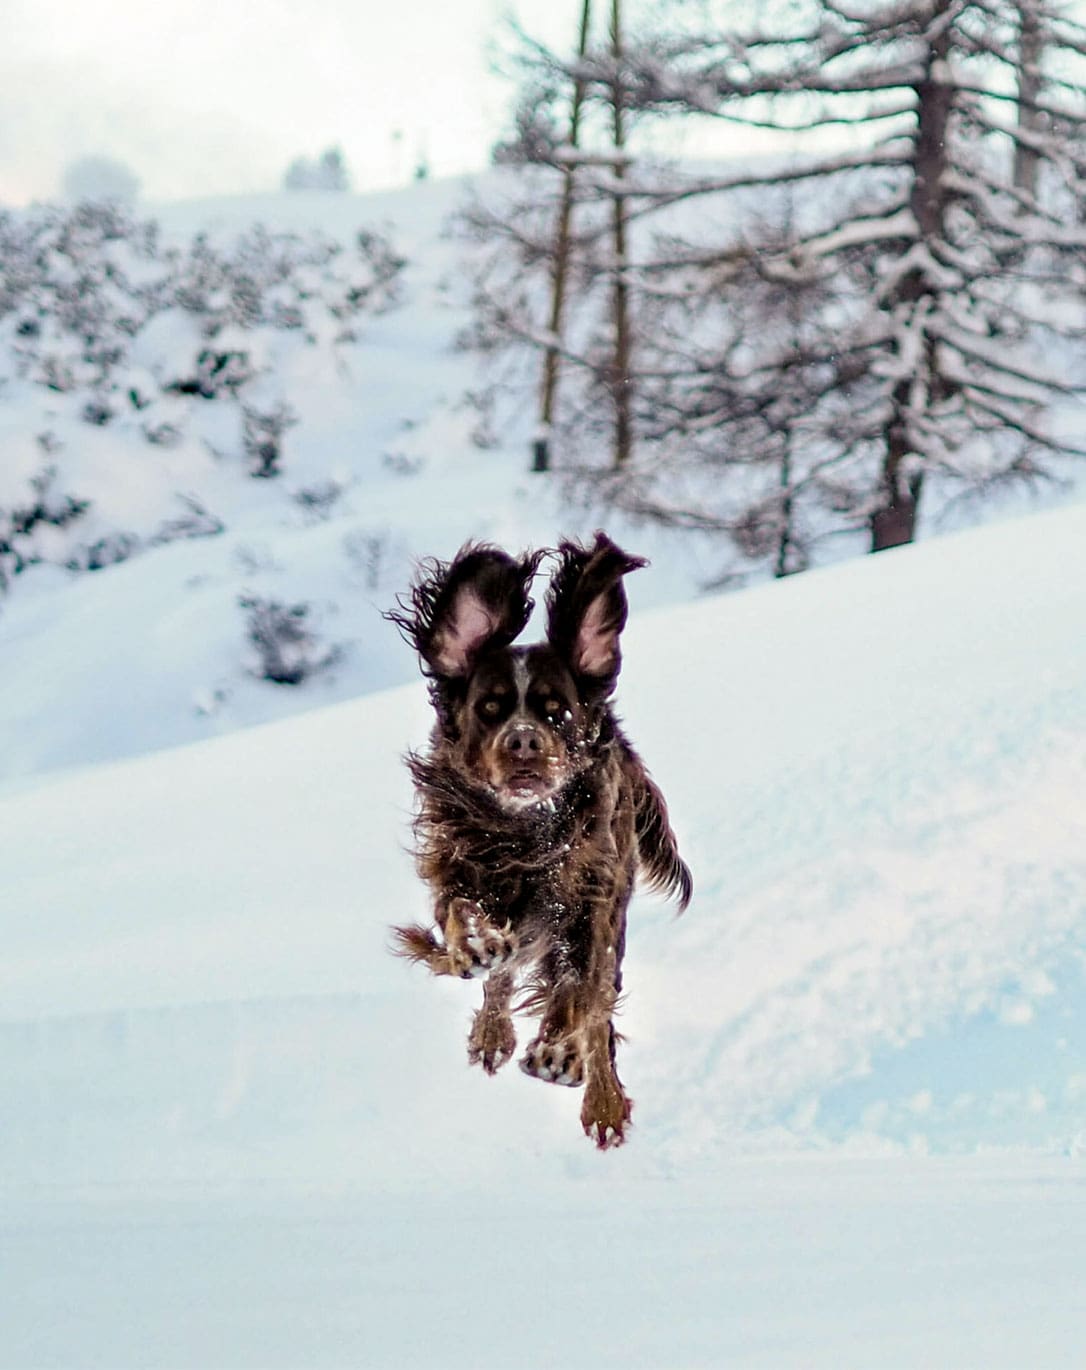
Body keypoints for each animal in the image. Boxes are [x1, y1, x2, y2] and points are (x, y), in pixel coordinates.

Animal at [386, 528, 690, 1150]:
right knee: (500, 977)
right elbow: (461, 914)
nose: (523, 741)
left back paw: (601, 1099)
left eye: (558, 713)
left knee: (598, 1007)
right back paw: (491, 1029)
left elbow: (579, 992)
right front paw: (478, 943)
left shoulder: (589, 903)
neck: (521, 833)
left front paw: (561, 1055)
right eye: (489, 708)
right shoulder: (454, 861)